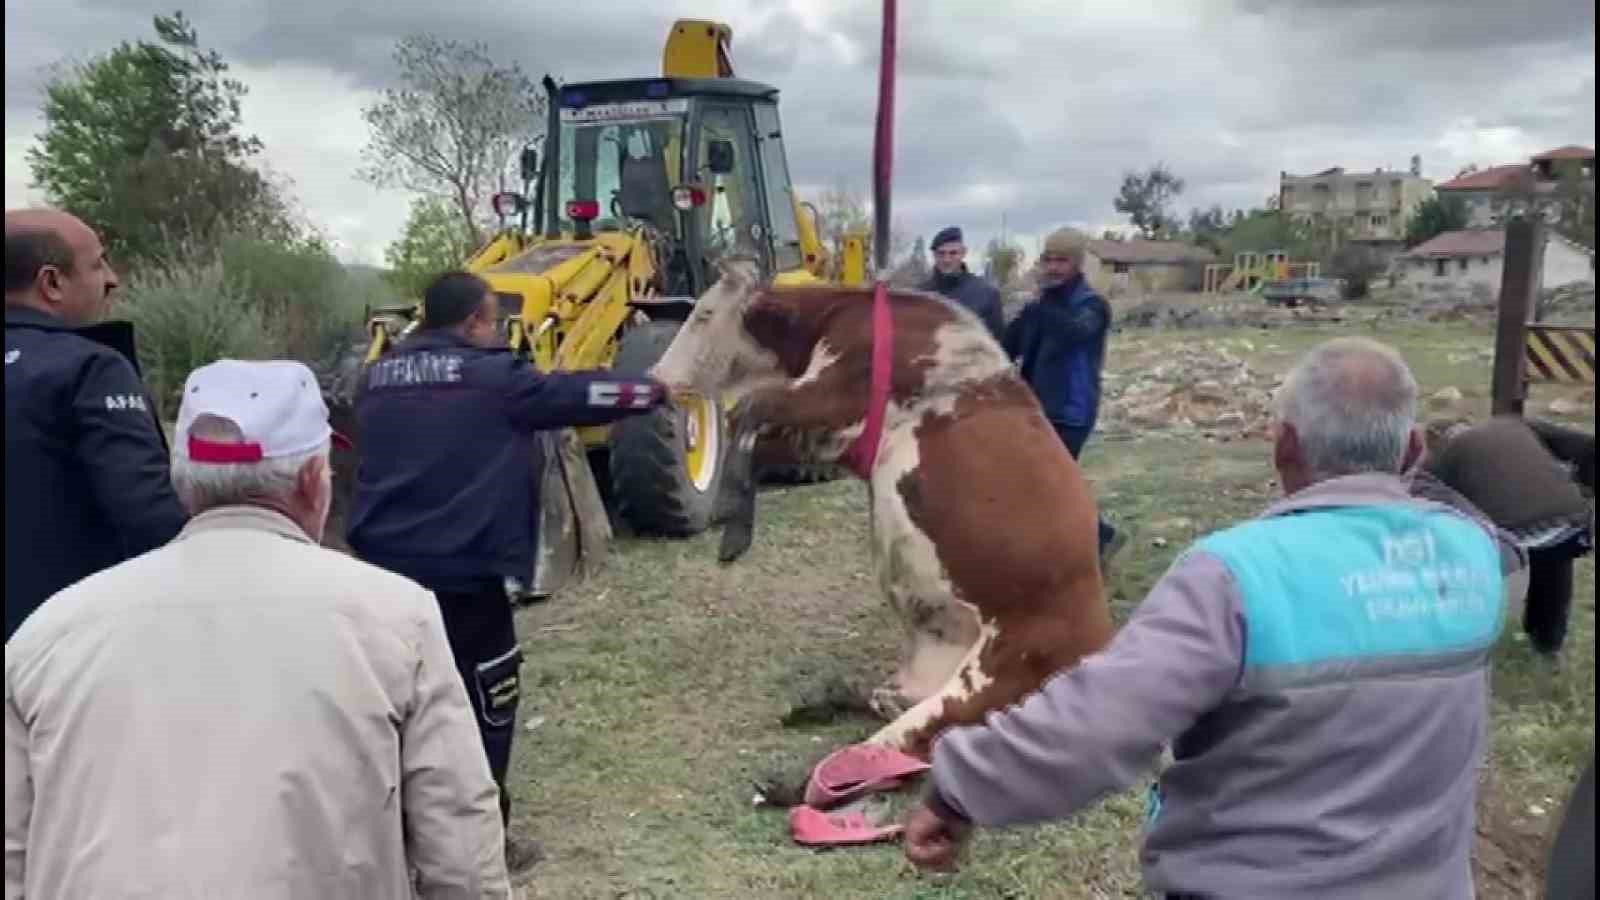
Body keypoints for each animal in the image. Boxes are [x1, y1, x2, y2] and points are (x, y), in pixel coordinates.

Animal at [643, 259, 1107, 755]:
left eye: (705, 314)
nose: (656, 377)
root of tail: (1098, 629)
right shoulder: (828, 436)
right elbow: (760, 440)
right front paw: (736, 531)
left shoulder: (833, 391)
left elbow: (747, 410)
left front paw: (730, 515)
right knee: (883, 701)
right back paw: (817, 704)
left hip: (988, 679)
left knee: (893, 746)